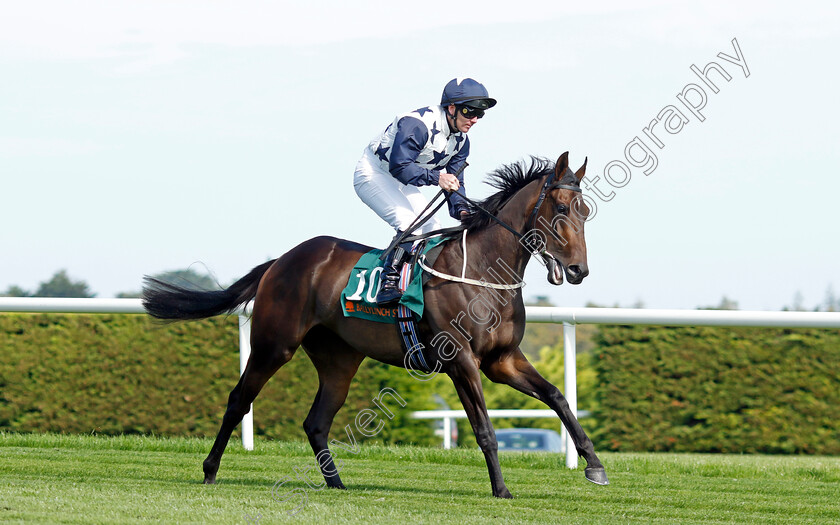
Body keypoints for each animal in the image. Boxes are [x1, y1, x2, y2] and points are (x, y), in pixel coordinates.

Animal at [141, 150, 608, 496]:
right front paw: (502, 490)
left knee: (316, 422)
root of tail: (281, 261)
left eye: (586, 211)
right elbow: (485, 429)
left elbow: (558, 397)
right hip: (275, 344)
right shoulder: (461, 361)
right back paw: (209, 469)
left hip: (339, 360)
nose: (579, 270)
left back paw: (336, 483)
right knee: (239, 399)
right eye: (561, 207)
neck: (483, 271)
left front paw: (594, 465)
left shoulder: (503, 359)